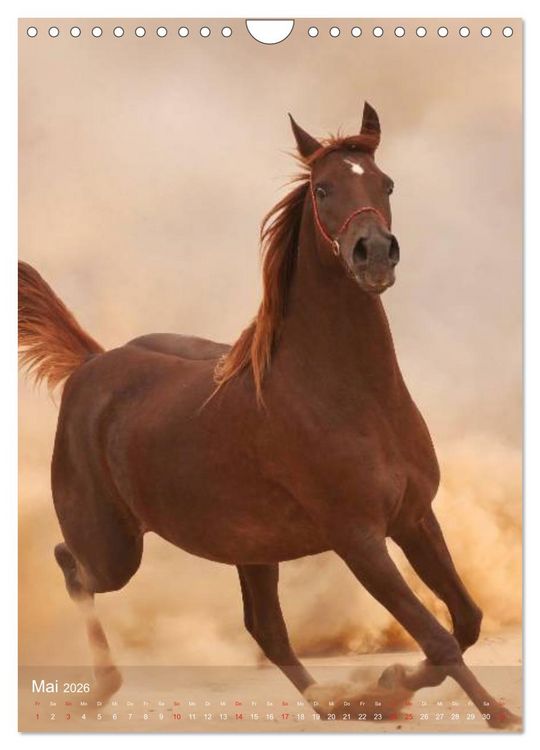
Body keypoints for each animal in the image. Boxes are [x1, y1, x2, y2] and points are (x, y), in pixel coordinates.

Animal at [18, 102, 519, 728]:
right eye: (324, 188)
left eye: (386, 183)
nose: (375, 254)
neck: (352, 396)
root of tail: (92, 362)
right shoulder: (359, 539)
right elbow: (439, 637)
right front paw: (494, 711)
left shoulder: (414, 518)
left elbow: (467, 620)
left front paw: (389, 682)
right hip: (114, 550)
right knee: (70, 565)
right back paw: (103, 688)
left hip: (251, 551)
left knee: (267, 632)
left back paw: (338, 702)